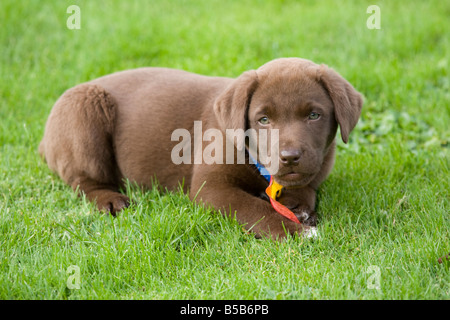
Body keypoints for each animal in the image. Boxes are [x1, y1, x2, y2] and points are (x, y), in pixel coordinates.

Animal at [37, 57, 362, 239]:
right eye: (263, 119)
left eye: (314, 115)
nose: (290, 157)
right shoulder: (211, 188)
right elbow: (254, 208)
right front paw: (298, 231)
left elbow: (308, 188)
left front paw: (299, 208)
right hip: (83, 109)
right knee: (83, 180)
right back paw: (111, 200)